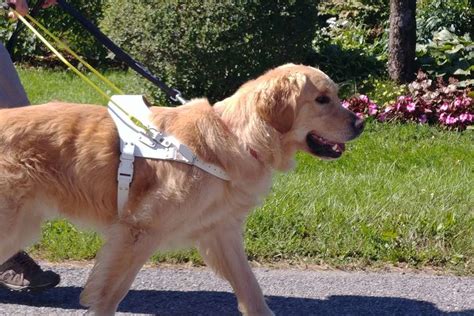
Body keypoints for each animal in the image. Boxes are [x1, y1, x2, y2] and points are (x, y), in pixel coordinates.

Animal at [0, 63, 364, 314]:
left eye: (335, 96)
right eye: (322, 99)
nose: (361, 123)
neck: (235, 138)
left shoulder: (221, 231)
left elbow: (251, 288)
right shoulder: (138, 231)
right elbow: (110, 293)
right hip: (14, 225)